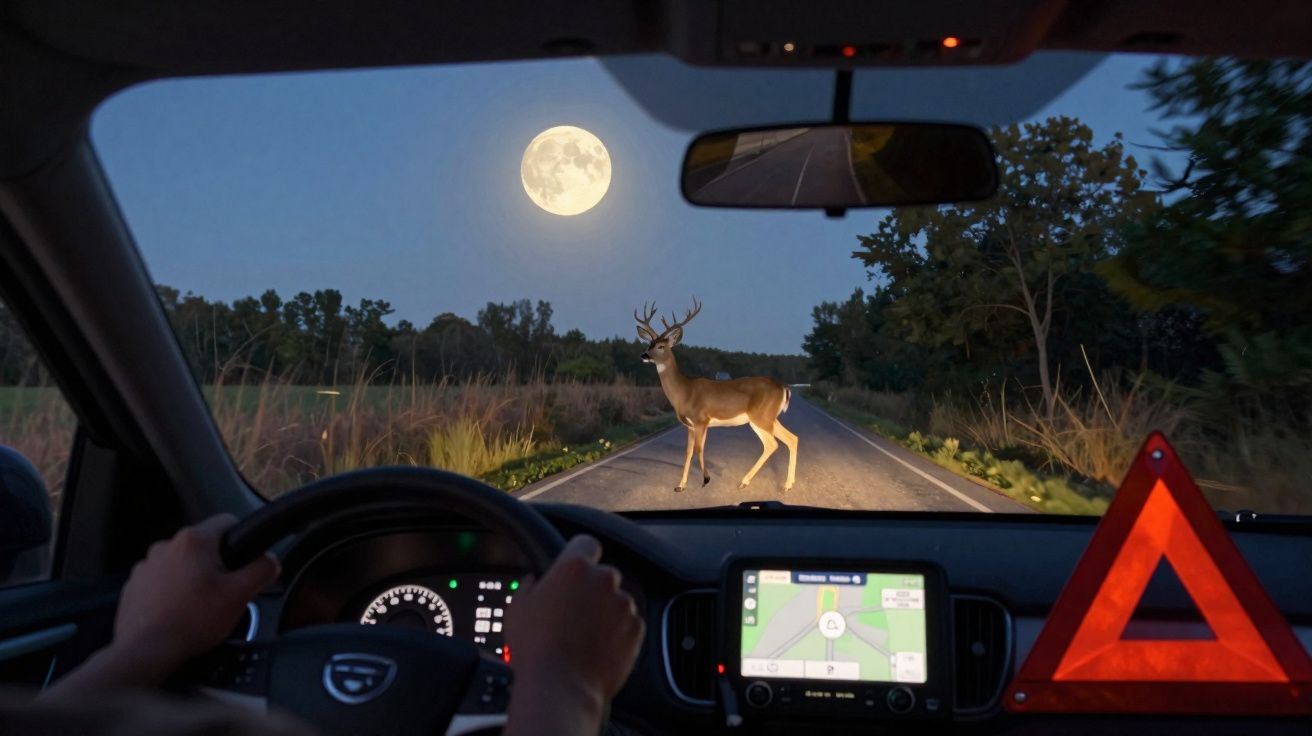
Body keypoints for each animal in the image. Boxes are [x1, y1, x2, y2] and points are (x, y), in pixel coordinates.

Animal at [635, 298, 798, 493]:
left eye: (661, 346)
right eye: (649, 344)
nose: (644, 355)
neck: (684, 391)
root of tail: (783, 387)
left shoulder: (701, 420)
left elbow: (699, 449)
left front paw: (705, 480)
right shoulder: (690, 426)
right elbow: (688, 452)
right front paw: (680, 485)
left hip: (760, 417)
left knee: (772, 444)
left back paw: (745, 481)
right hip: (769, 418)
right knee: (792, 439)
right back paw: (788, 484)